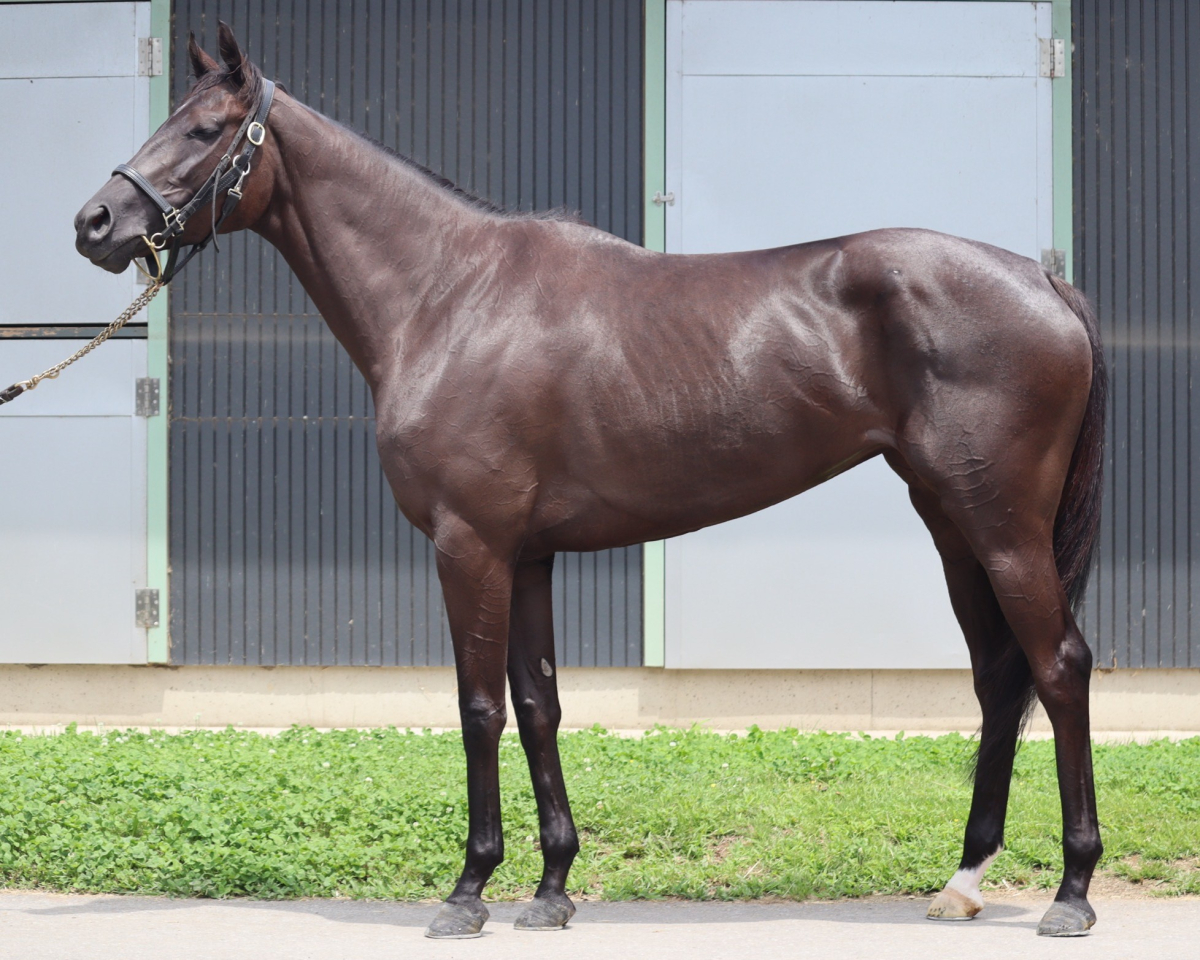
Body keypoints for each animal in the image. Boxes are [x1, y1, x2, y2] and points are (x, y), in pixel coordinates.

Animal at [74, 23, 1107, 940]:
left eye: (206, 129)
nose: (95, 223)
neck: (450, 296)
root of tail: (1042, 281)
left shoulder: (470, 547)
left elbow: (479, 708)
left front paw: (467, 891)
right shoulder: (527, 555)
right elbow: (540, 706)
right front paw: (551, 888)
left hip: (1002, 524)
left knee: (1059, 666)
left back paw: (1071, 892)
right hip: (951, 520)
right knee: (998, 676)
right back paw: (964, 881)